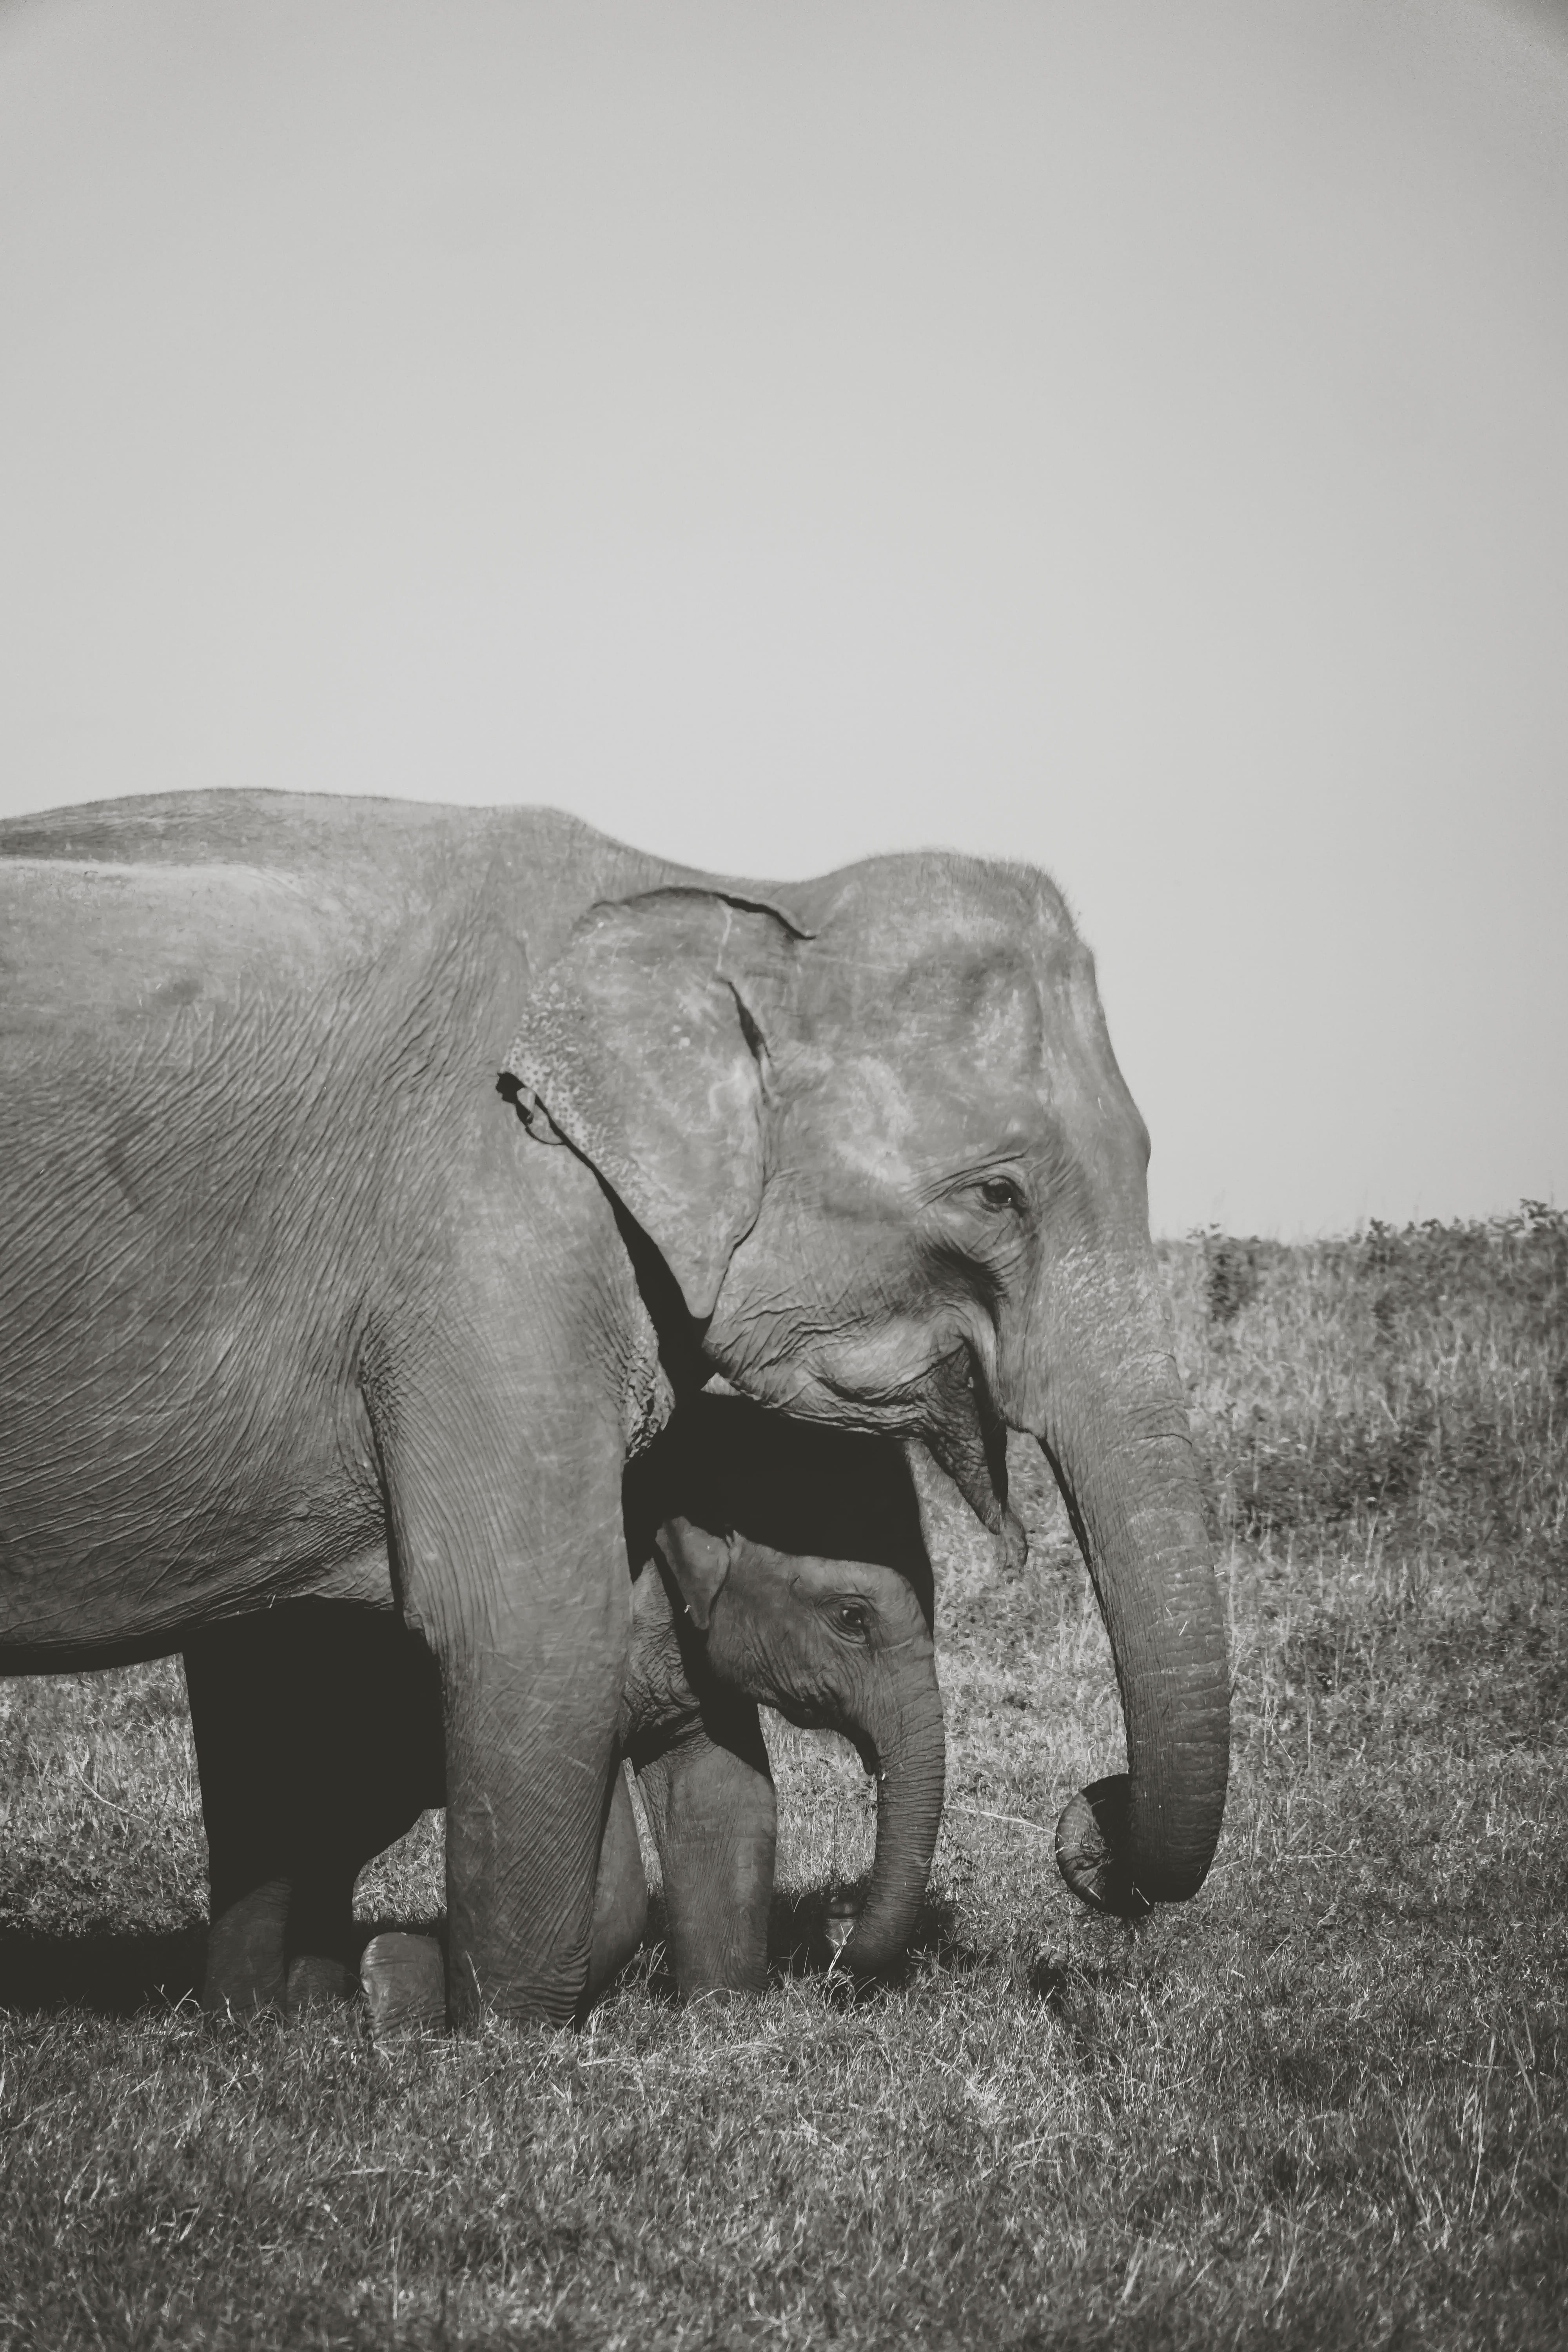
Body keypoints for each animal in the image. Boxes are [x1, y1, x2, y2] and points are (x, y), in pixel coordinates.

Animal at [187, 1395, 943, 2019]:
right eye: (852, 1617)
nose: (837, 1918)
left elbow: (722, 1798)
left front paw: (723, 2018)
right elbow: (610, 1879)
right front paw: (395, 1986)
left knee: (333, 1833)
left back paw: (309, 2012)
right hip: (255, 1671)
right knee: (266, 1826)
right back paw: (249, 2023)